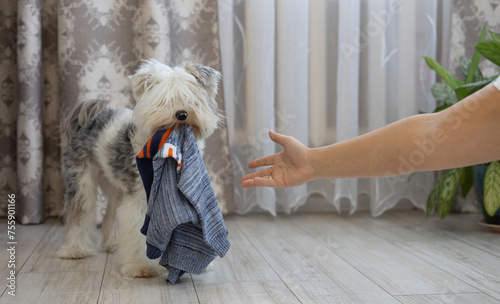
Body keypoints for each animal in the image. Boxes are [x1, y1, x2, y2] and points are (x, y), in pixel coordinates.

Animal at [56, 60, 221, 278]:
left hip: (116, 187)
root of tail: (89, 119)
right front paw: (139, 266)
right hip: (81, 181)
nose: (182, 114)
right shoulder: (139, 200)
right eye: (164, 101)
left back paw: (113, 244)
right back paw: (75, 250)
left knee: (110, 215)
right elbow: (136, 232)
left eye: (191, 99)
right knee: (79, 214)